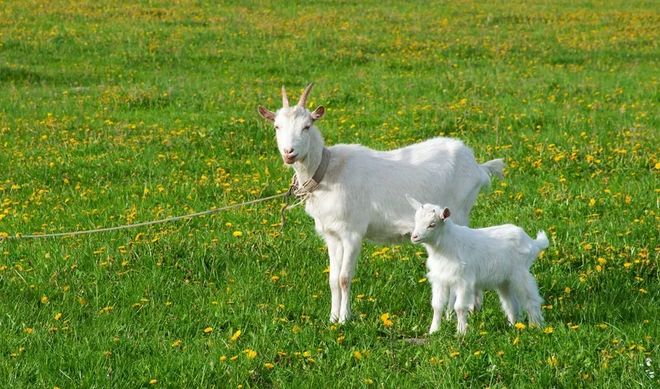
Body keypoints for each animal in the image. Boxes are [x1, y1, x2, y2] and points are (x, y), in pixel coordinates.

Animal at [260, 83, 506, 322]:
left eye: (307, 126)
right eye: (276, 127)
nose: (289, 153)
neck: (327, 172)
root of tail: (477, 166)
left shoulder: (352, 233)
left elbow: (344, 278)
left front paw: (345, 319)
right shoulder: (332, 235)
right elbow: (332, 279)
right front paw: (332, 319)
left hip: (459, 211)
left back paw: (456, 312)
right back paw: (474, 308)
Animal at [408, 194, 548, 334]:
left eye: (432, 225)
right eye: (416, 221)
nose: (414, 237)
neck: (447, 246)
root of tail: (532, 242)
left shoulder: (464, 281)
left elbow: (459, 307)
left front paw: (461, 332)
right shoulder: (439, 279)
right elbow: (437, 305)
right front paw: (433, 331)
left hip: (520, 273)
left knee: (531, 299)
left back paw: (536, 326)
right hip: (504, 280)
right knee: (510, 302)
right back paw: (513, 325)